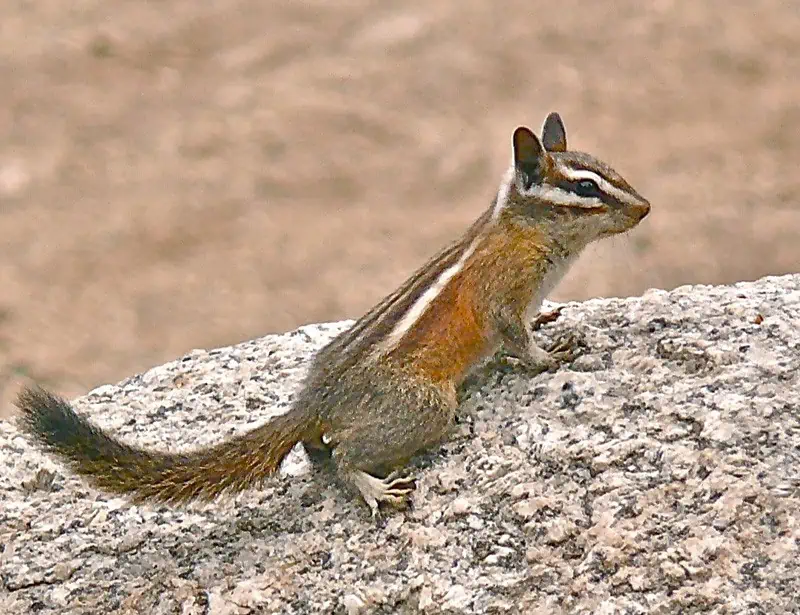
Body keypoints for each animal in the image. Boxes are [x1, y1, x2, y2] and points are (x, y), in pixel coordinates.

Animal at [15, 112, 650, 516]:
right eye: (587, 188)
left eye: (611, 170)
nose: (645, 208)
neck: (527, 231)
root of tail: (315, 400)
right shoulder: (501, 295)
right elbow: (516, 339)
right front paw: (551, 356)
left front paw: (550, 323)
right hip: (424, 405)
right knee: (344, 453)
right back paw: (372, 488)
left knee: (318, 449)